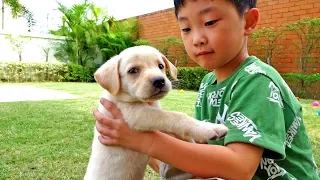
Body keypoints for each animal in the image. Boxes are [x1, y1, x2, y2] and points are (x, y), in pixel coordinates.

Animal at [82, 46, 228, 180]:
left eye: (160, 66)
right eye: (133, 70)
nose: (159, 81)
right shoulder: (136, 114)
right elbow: (175, 116)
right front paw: (209, 129)